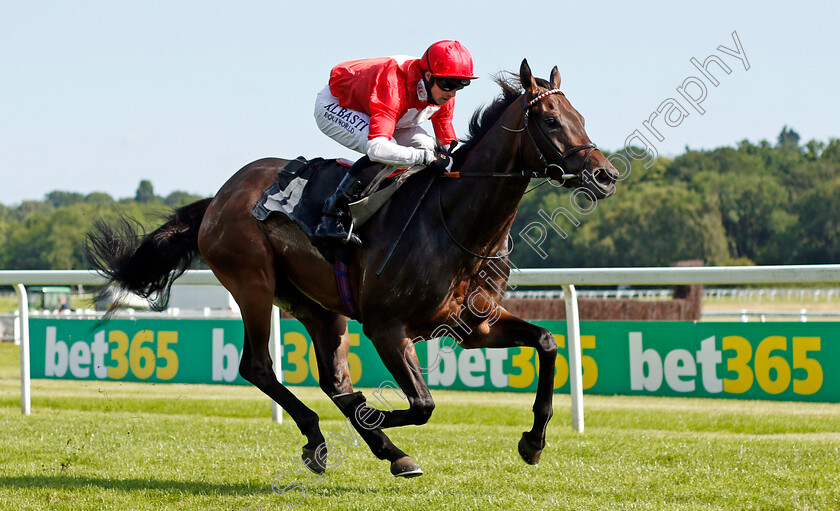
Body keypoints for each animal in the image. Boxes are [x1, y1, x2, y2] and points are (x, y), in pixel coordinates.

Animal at [85, 61, 616, 480]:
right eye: (550, 119)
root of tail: (217, 198)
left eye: (581, 117)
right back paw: (338, 440)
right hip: (253, 283)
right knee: (259, 366)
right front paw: (378, 421)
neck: (455, 222)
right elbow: (421, 405)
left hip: (316, 304)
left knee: (335, 381)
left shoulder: (473, 325)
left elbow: (546, 342)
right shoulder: (387, 326)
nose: (605, 175)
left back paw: (367, 447)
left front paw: (533, 442)